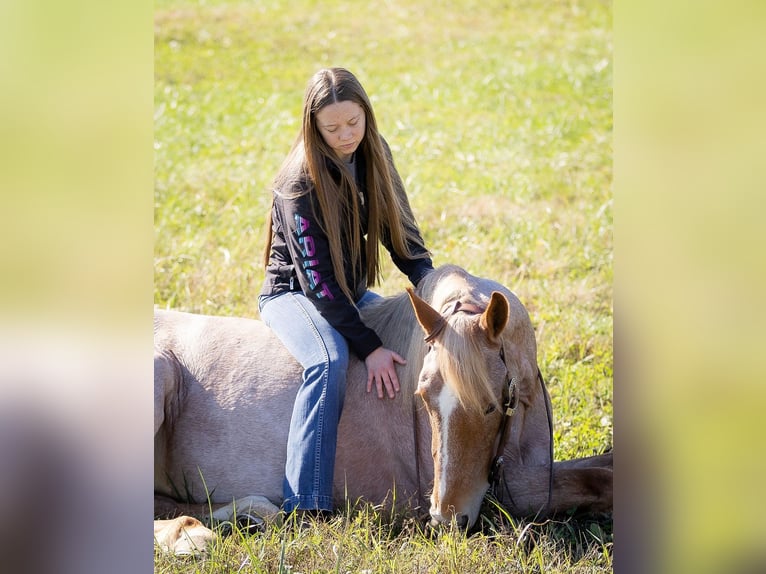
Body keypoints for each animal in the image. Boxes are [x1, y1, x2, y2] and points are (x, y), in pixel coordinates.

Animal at [154, 266, 612, 552]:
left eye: (491, 405)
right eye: (424, 398)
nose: (446, 520)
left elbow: (602, 465)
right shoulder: (508, 491)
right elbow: (598, 482)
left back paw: (249, 515)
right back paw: (192, 538)